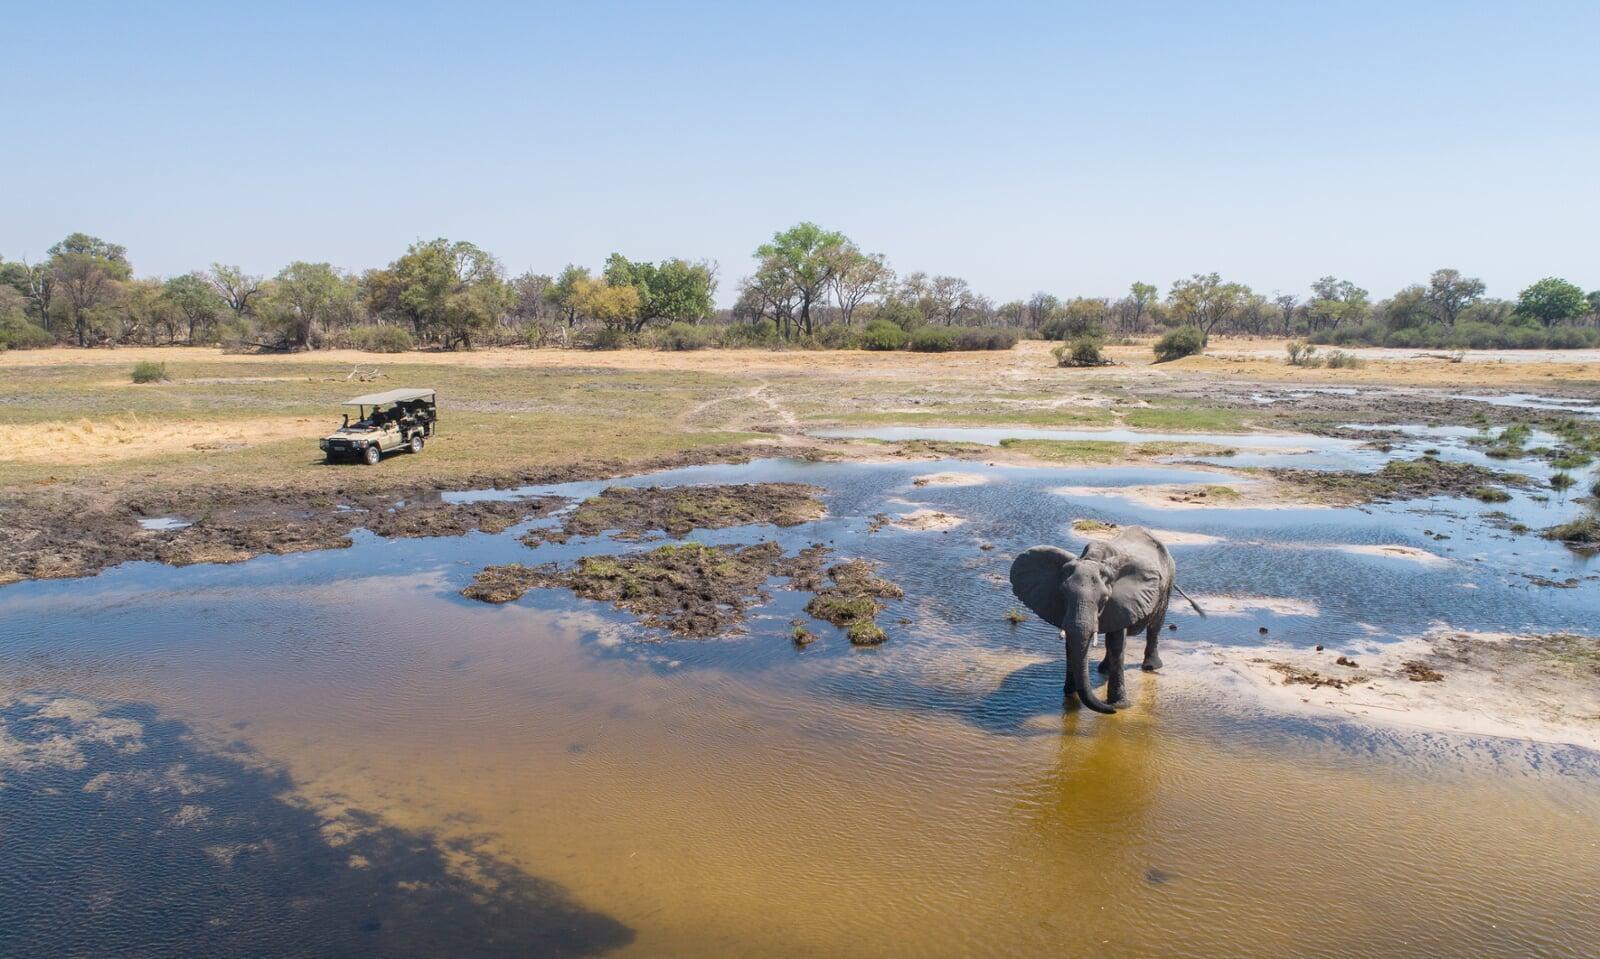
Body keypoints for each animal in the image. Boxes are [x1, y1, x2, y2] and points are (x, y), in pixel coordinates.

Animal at [1011, 528, 1203, 717]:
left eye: (1104, 599)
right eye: (1063, 594)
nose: (1110, 711)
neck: (1093, 559)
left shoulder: (1121, 602)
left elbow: (1117, 643)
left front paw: (1119, 706)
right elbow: (1072, 644)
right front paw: (1070, 696)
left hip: (1167, 583)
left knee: (1155, 625)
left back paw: (1150, 667)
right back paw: (1103, 669)